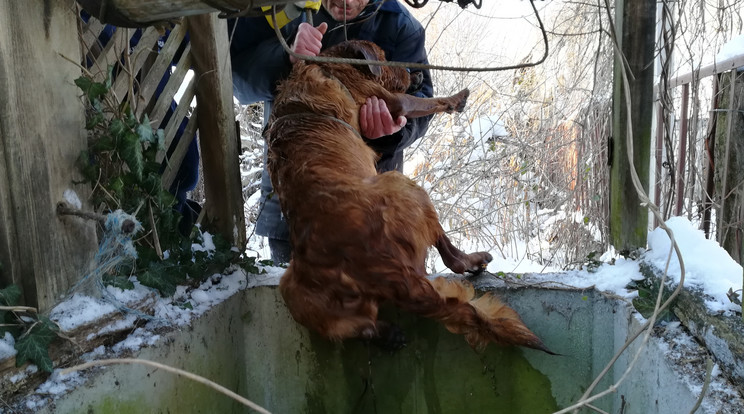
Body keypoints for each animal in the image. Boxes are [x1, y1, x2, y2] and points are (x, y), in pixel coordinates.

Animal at [268, 40, 552, 352]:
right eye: (384, 56)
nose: (411, 72)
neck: (332, 63)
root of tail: (383, 271)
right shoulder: (393, 101)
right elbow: (427, 102)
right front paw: (456, 99)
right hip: (403, 186)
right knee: (450, 256)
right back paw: (473, 260)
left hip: (292, 290)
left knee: (359, 327)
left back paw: (387, 335)